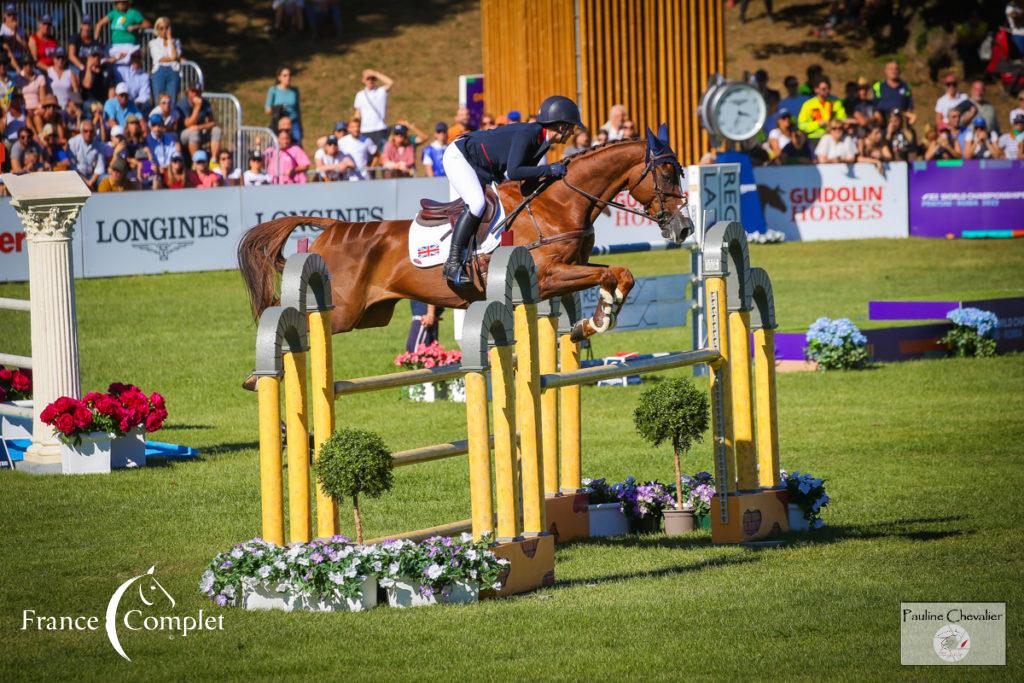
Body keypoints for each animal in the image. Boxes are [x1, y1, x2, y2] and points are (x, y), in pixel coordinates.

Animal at [235, 127, 692, 342]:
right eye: (668, 173)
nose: (685, 226)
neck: (559, 202)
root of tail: (335, 228)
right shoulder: (546, 276)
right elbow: (608, 273)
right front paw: (601, 317)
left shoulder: (572, 266)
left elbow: (619, 272)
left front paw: (597, 319)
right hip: (342, 311)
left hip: (366, 314)